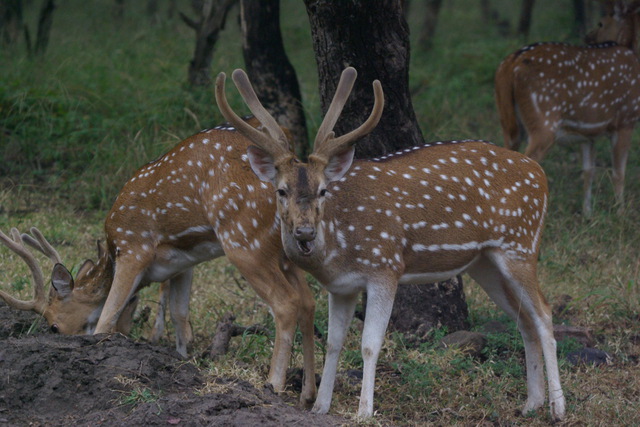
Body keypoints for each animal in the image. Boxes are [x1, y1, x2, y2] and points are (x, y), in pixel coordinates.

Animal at [0, 116, 317, 407]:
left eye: (53, 325)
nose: (60, 339)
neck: (112, 250)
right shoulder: (183, 261)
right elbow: (180, 315)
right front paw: (181, 358)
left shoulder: (134, 248)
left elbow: (107, 316)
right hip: (286, 250)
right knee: (308, 300)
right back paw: (308, 394)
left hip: (244, 237)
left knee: (285, 302)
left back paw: (274, 385)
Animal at [215, 67, 565, 421]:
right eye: (281, 190)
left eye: (323, 190)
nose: (304, 232)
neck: (338, 250)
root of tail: (540, 174)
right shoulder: (341, 287)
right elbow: (334, 342)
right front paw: (320, 407)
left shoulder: (385, 267)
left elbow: (370, 344)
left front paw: (363, 412)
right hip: (485, 262)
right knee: (524, 320)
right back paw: (531, 403)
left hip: (520, 244)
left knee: (545, 314)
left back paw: (558, 408)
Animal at [494, 0, 640, 216]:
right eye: (601, 21)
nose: (587, 37)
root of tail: (511, 63)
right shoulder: (625, 119)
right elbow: (619, 172)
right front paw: (620, 212)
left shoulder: (588, 133)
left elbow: (588, 171)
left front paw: (587, 212)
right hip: (543, 120)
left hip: (508, 120)